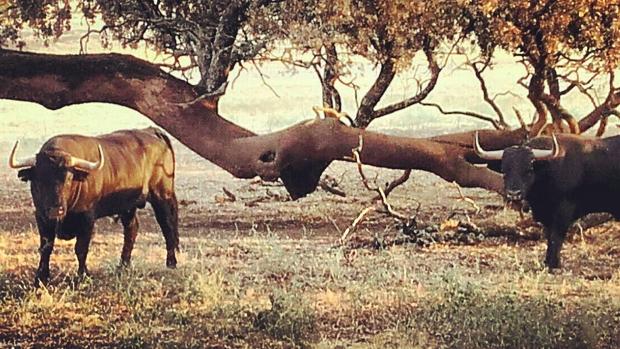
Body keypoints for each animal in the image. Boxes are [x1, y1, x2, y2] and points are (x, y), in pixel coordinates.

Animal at [10, 126, 179, 284]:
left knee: (167, 226)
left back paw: (171, 263)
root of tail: (151, 131)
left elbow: (81, 248)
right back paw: (123, 265)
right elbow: (46, 248)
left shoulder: (87, 219)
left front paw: (83, 275)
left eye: (69, 178)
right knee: (132, 229)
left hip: (162, 196)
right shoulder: (41, 217)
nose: (56, 210)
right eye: (39, 178)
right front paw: (41, 278)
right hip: (128, 206)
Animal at [474, 132, 620, 268]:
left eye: (529, 170)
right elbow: (549, 236)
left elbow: (556, 237)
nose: (513, 193)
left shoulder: (563, 211)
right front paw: (547, 262)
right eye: (504, 170)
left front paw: (553, 264)